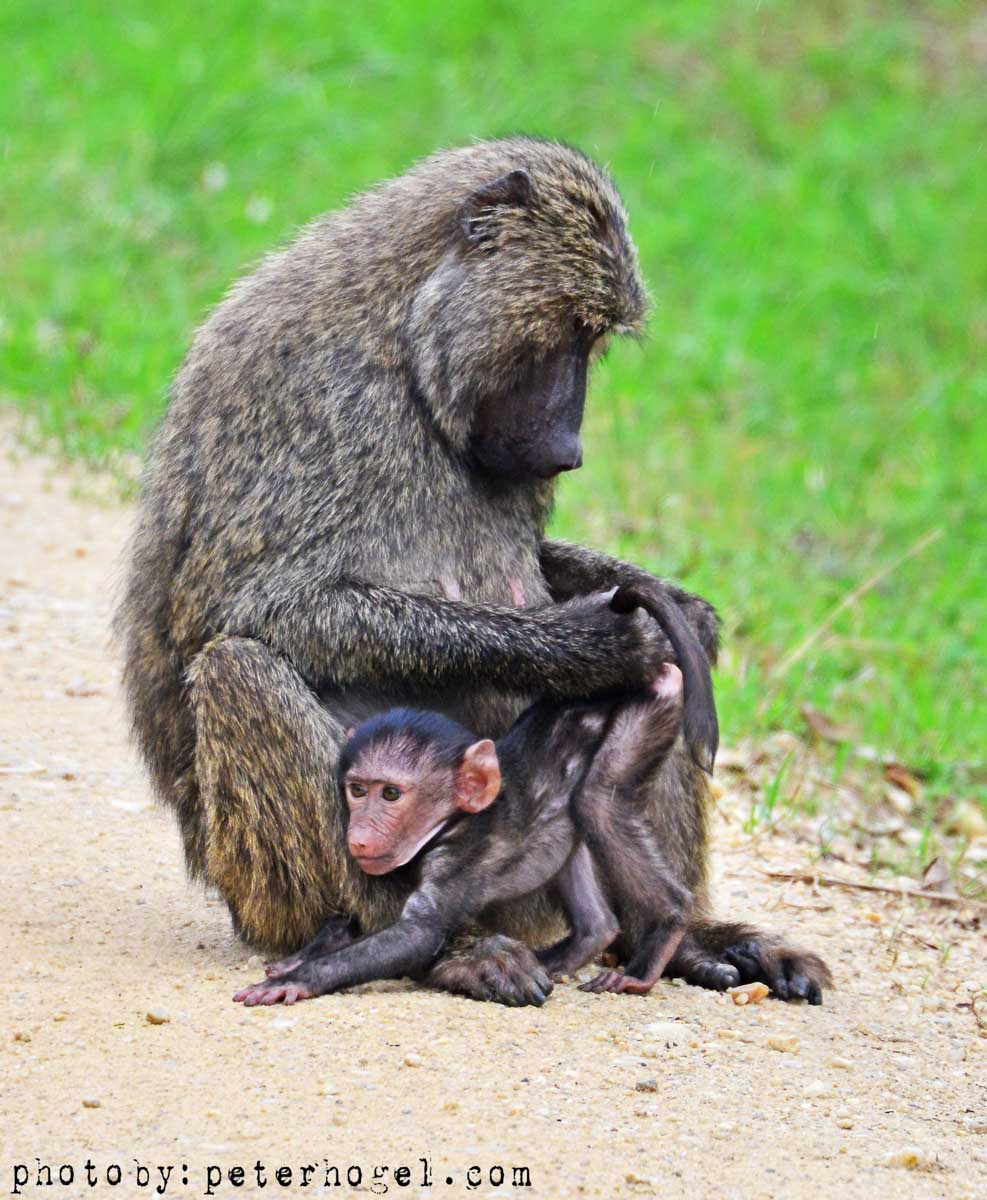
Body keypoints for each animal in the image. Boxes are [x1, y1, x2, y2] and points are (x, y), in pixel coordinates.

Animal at [233, 660, 691, 1006]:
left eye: (392, 794)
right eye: (357, 790)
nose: (358, 835)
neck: (451, 821)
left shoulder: (458, 856)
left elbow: (418, 934)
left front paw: (296, 980)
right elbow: (359, 917)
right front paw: (301, 956)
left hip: (646, 712)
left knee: (599, 799)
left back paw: (662, 935)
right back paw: (586, 939)